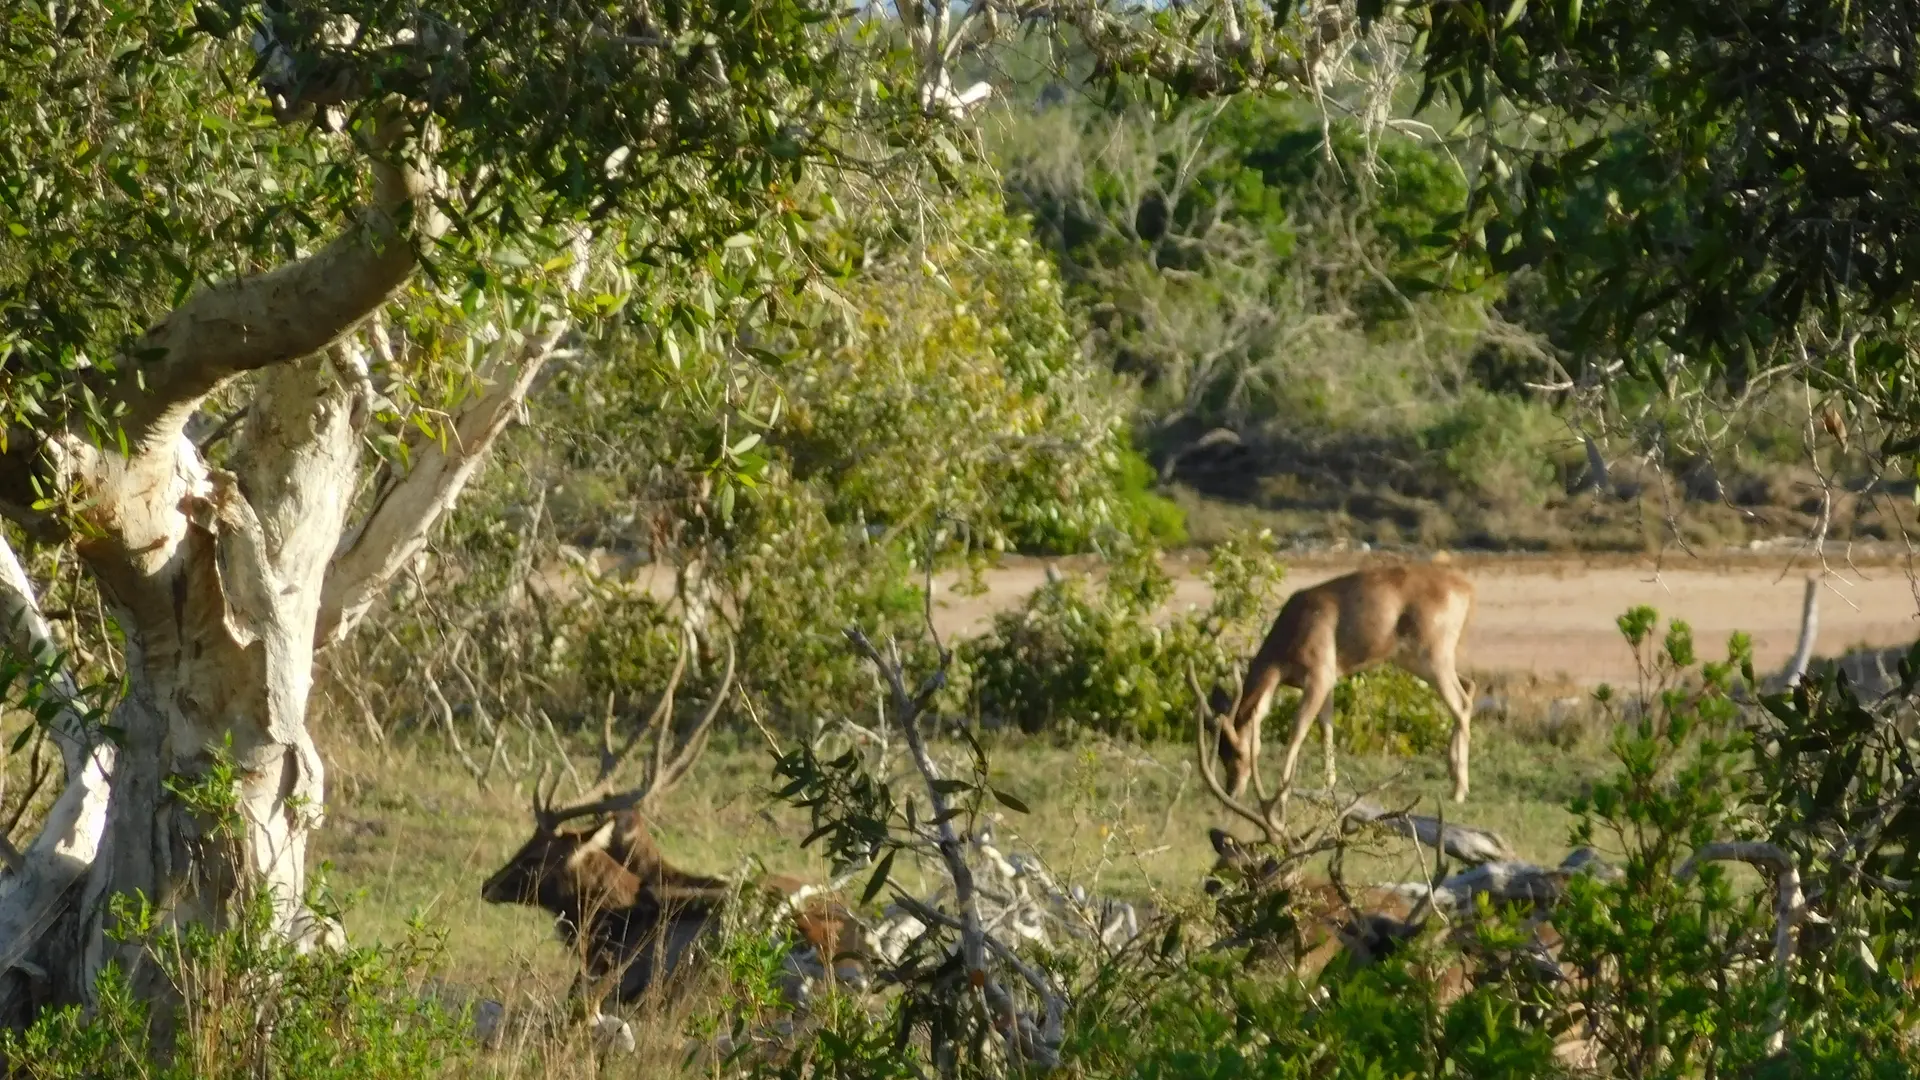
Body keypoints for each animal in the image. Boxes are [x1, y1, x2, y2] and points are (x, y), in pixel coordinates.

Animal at [1205, 557, 1474, 810]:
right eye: (1220, 750)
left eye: (1239, 749)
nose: (1232, 791)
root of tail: (1465, 588)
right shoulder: (1328, 683)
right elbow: (1327, 727)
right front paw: (1328, 786)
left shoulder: (1319, 677)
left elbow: (1298, 729)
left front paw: (1283, 794)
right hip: (1421, 662)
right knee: (1468, 688)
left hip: (1433, 658)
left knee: (1460, 704)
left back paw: (1459, 791)